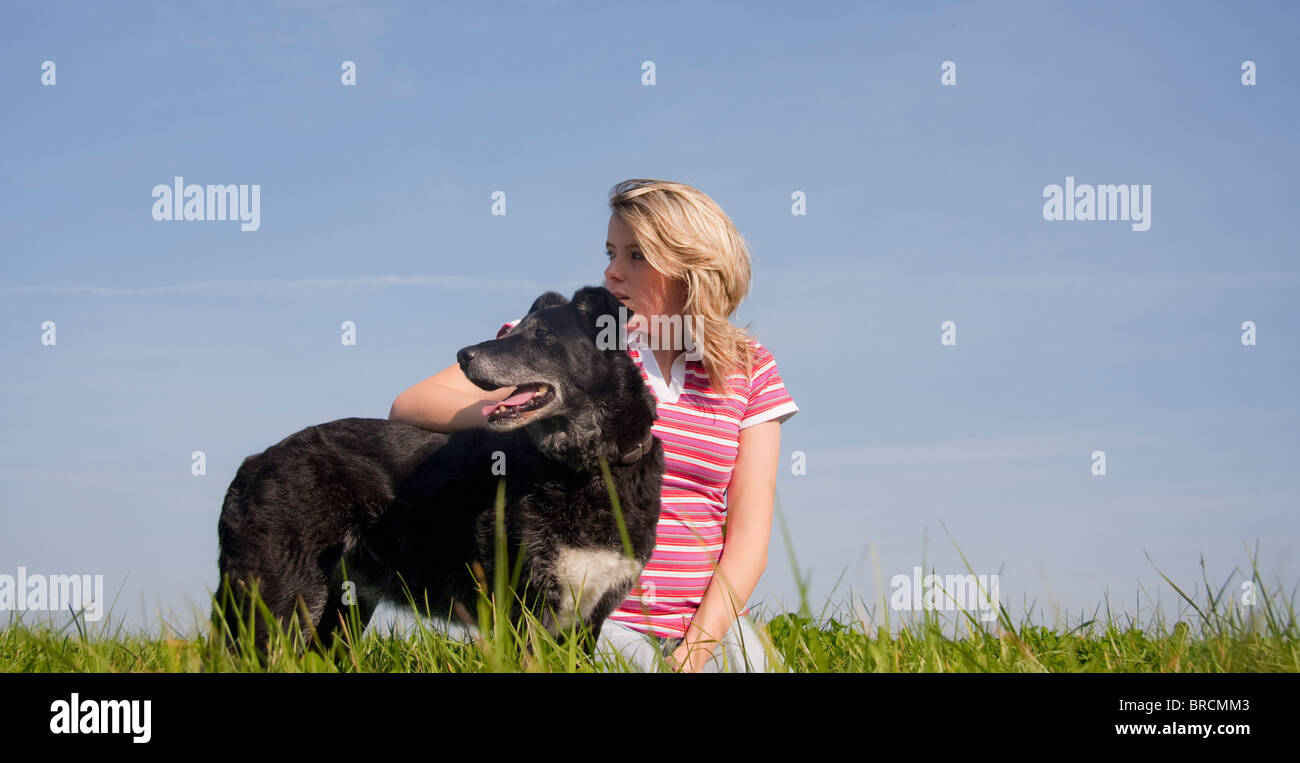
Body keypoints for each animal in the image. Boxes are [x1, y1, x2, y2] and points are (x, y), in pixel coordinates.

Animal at [215, 285, 660, 657]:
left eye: (543, 336)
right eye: (512, 332)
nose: (463, 355)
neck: (586, 466)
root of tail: (253, 463)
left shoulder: (586, 620)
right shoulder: (525, 609)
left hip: (336, 612)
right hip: (279, 601)